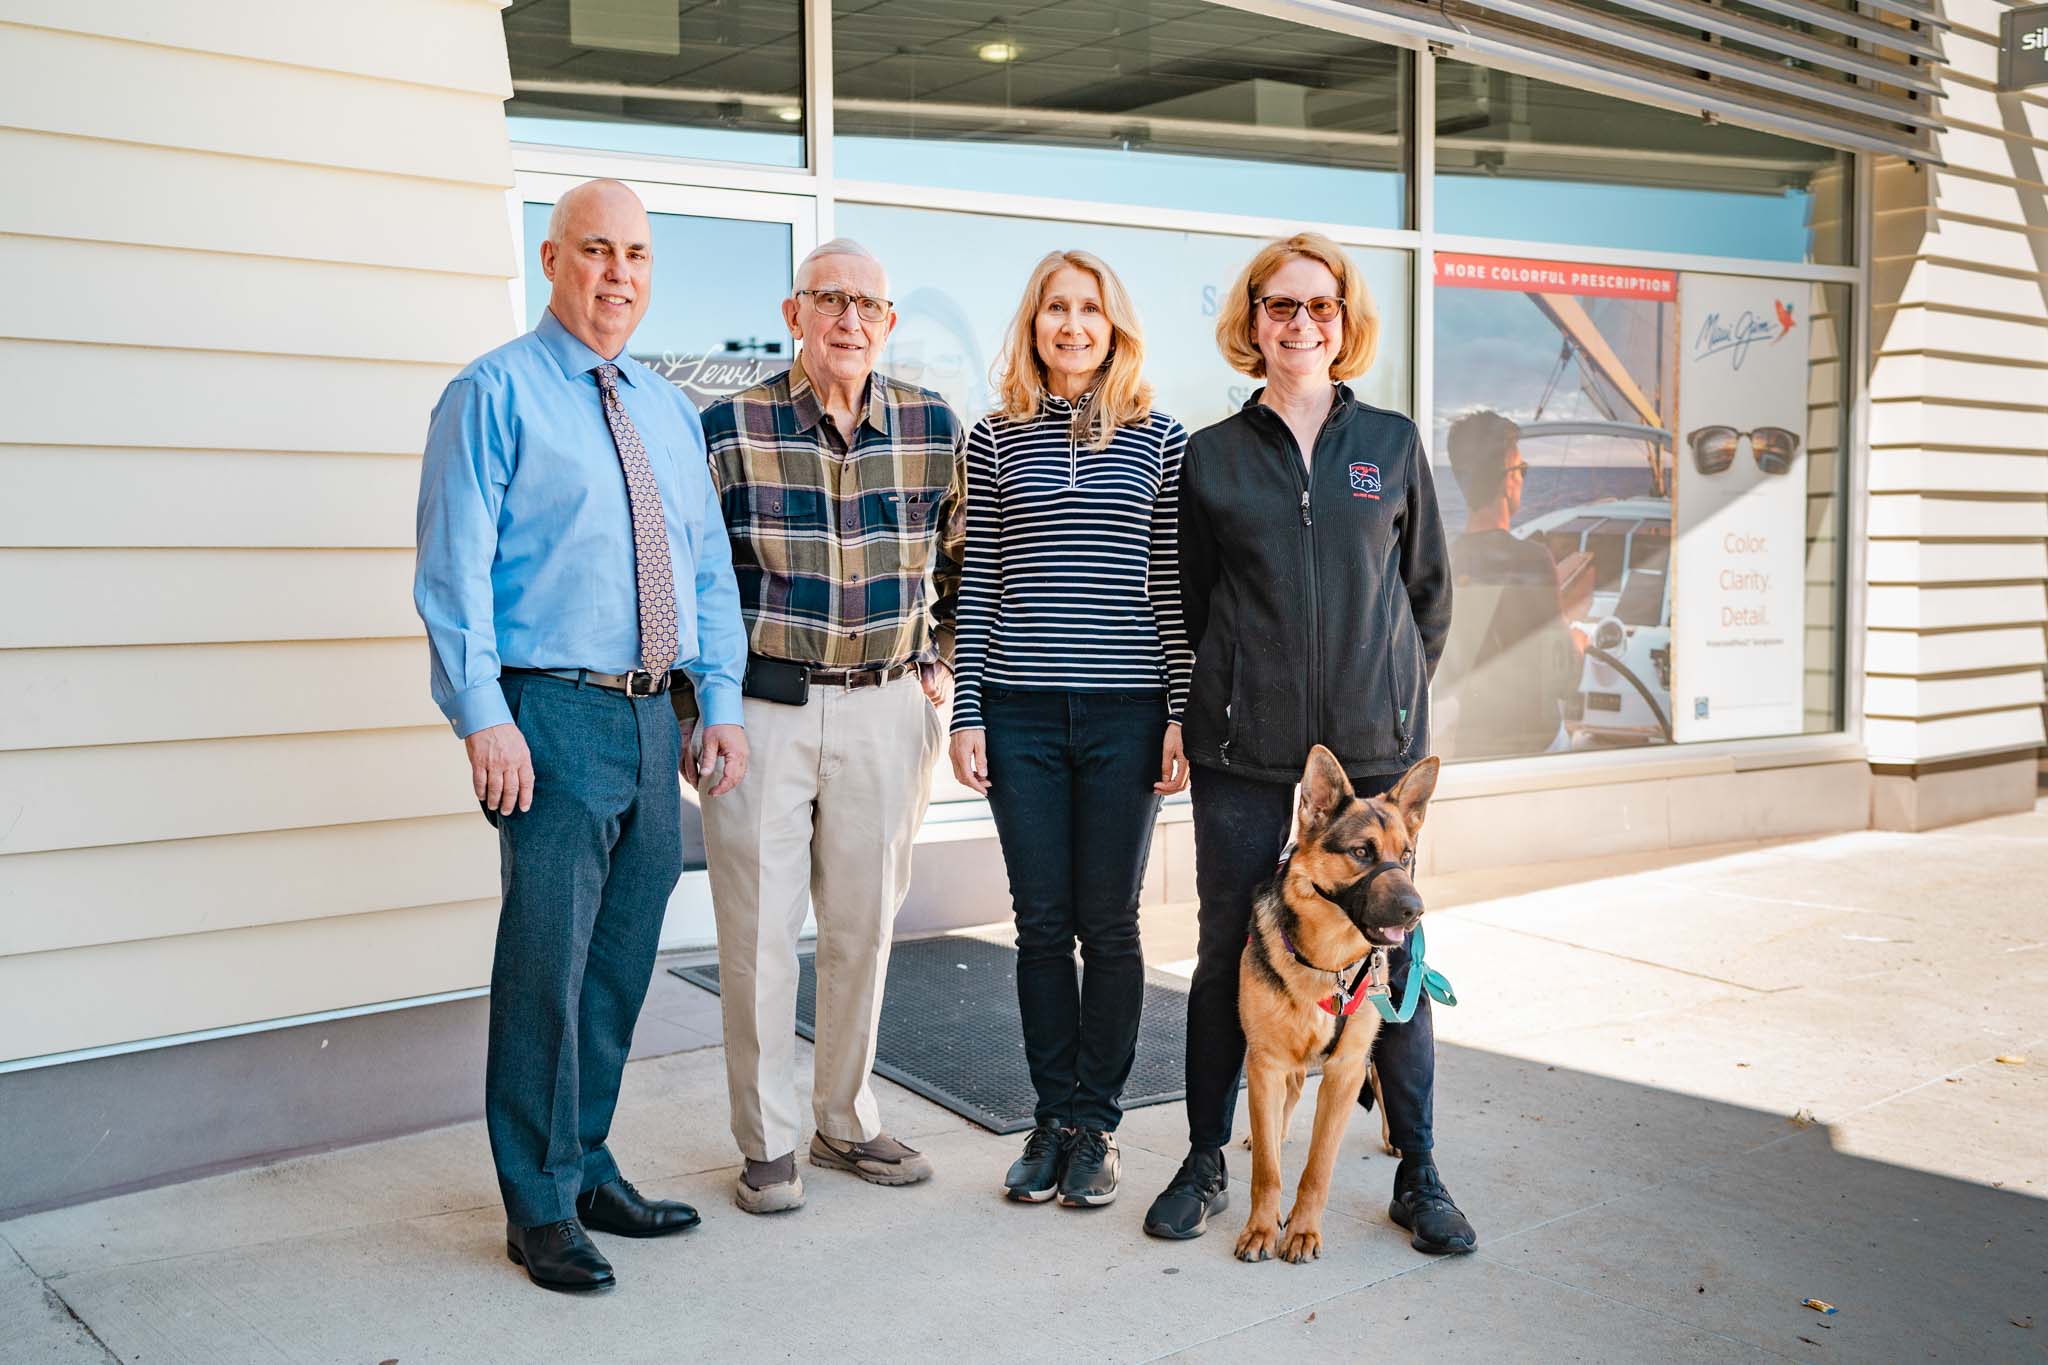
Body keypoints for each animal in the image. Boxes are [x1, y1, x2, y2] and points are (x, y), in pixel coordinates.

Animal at [1233, 746, 1438, 1264]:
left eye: (1405, 856)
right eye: (1361, 852)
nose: (1416, 911)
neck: (1328, 964)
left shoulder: (1344, 1070)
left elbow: (1318, 1168)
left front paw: (1303, 1231)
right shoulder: (1265, 1062)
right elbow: (1268, 1168)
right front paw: (1262, 1228)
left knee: (1386, 1085)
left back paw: (1397, 1140)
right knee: (1288, 1099)